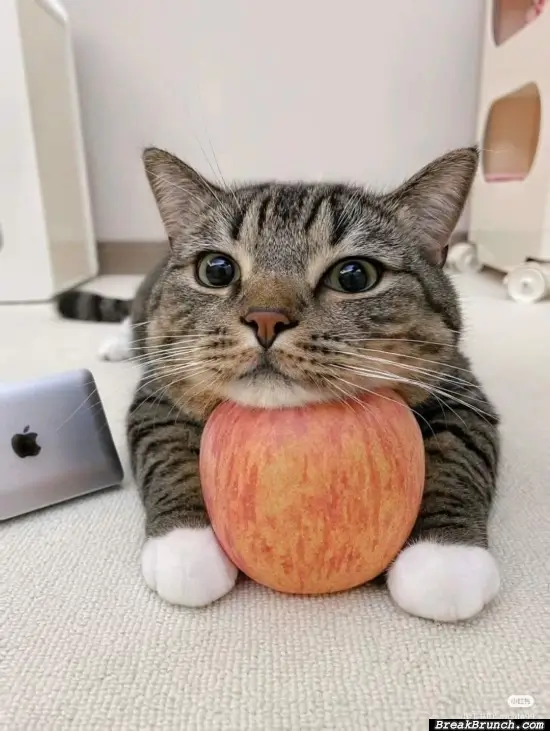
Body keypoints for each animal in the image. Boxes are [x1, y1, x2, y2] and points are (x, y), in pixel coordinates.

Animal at [58, 146, 502, 620]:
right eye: (216, 270)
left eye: (353, 276)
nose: (266, 318)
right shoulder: (157, 392)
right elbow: (166, 453)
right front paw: (186, 548)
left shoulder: (461, 388)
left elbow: (458, 457)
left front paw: (445, 560)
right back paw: (117, 343)